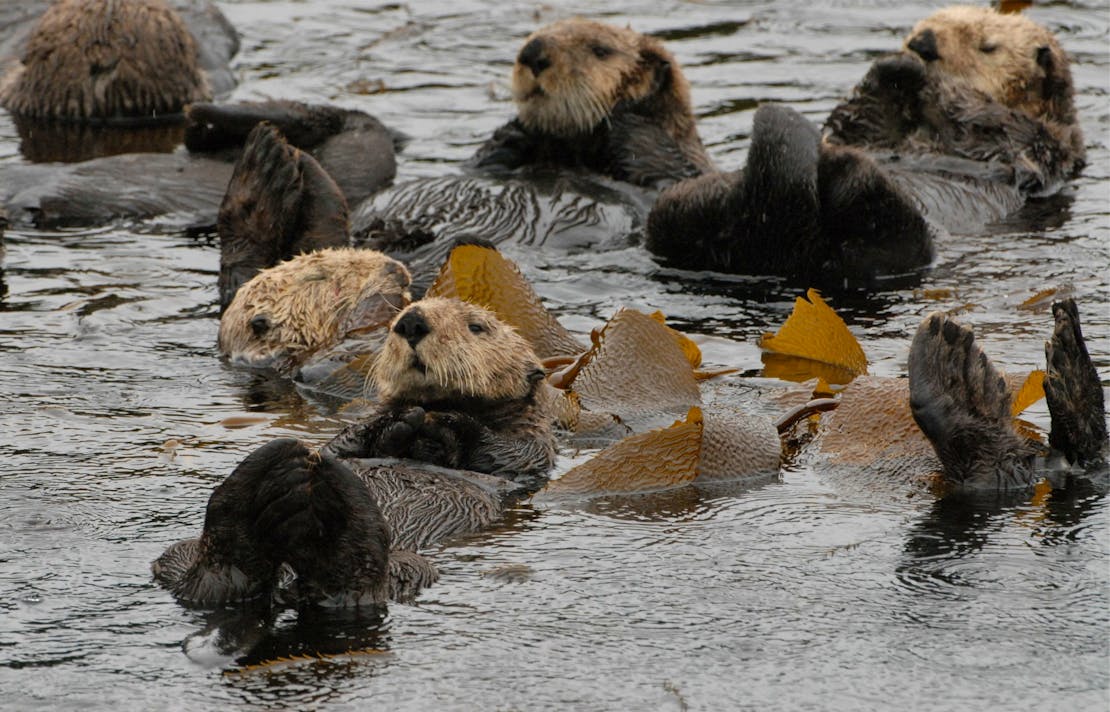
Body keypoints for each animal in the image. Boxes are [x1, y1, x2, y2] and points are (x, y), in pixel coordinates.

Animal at [155, 297, 556, 608]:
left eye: (477, 327)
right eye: (400, 315)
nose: (411, 322)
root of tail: (287, 578)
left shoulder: (531, 451)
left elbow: (505, 452)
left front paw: (447, 421)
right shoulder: (348, 436)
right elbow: (339, 443)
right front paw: (395, 421)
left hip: (408, 566)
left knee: (354, 589)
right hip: (180, 552)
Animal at [645, 6, 1084, 285]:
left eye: (988, 46)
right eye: (924, 23)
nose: (923, 42)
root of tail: (778, 243)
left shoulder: (1036, 139)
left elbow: (982, 118)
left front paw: (922, 76)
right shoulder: (867, 130)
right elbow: (860, 118)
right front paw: (895, 67)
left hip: (890, 247)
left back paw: (834, 162)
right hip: (680, 208)